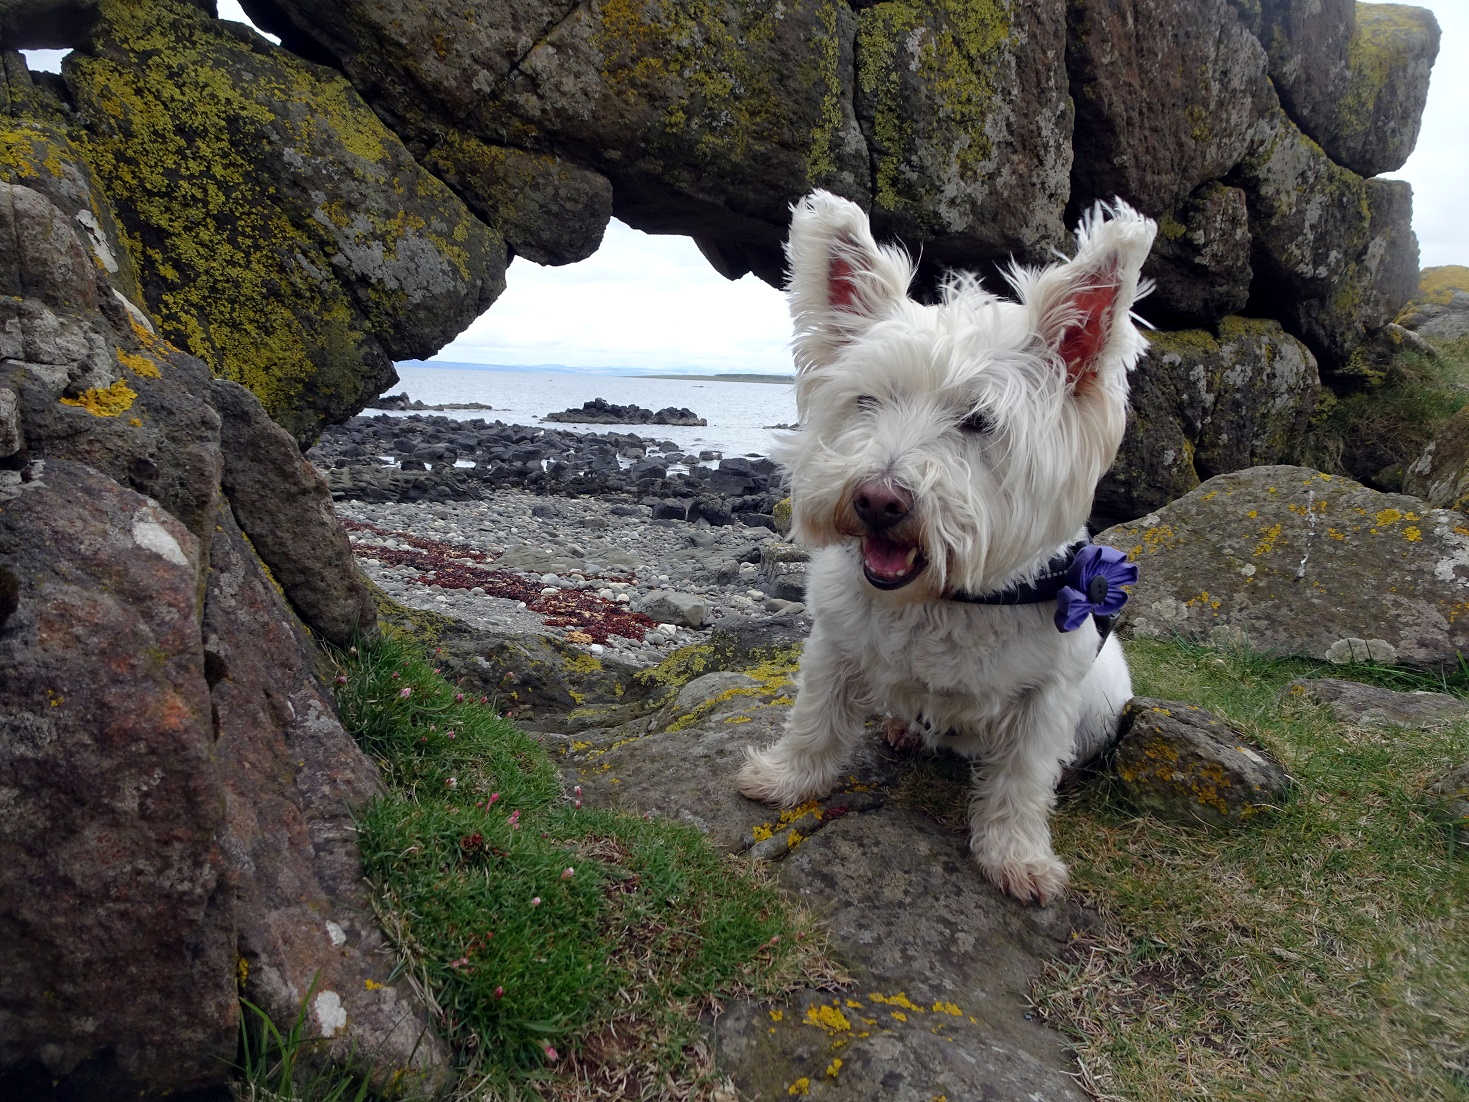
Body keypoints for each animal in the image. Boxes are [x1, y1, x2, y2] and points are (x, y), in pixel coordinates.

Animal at [740, 192, 1151, 905]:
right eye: (867, 400)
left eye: (979, 421)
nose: (878, 500)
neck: (943, 598)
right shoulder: (834, 643)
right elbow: (817, 717)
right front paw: (786, 779)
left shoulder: (1046, 696)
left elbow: (1021, 780)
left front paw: (1018, 858)